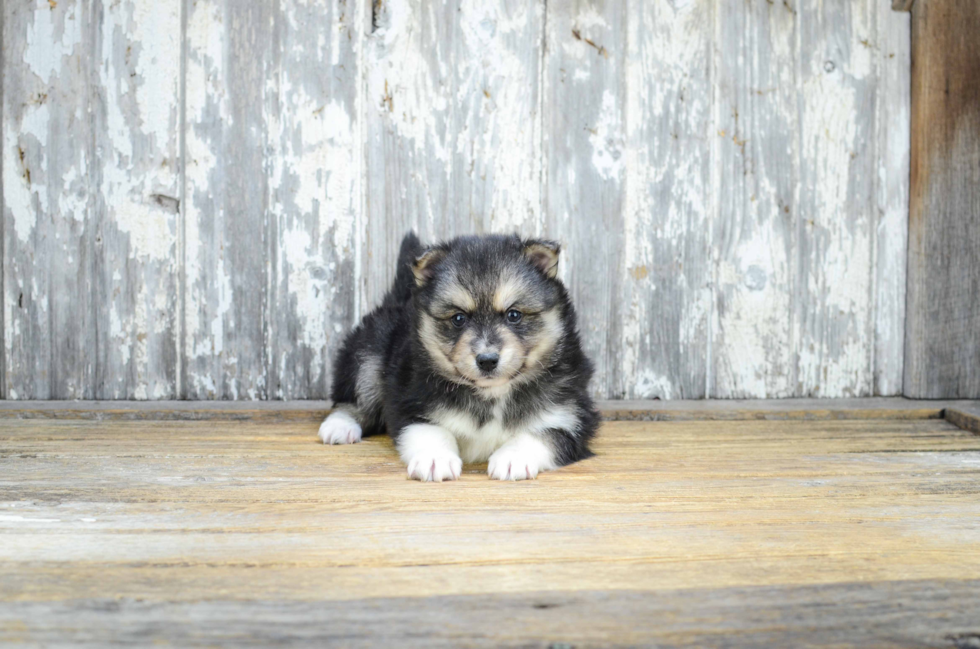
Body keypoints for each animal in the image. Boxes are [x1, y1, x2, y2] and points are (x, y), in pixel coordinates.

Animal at [320, 233, 596, 480]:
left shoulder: (571, 417)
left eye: (514, 315)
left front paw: (513, 457)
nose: (487, 360)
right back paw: (340, 425)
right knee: (354, 399)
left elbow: (543, 434)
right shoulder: (410, 403)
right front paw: (435, 458)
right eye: (459, 318)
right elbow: (431, 430)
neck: (491, 395)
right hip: (369, 355)